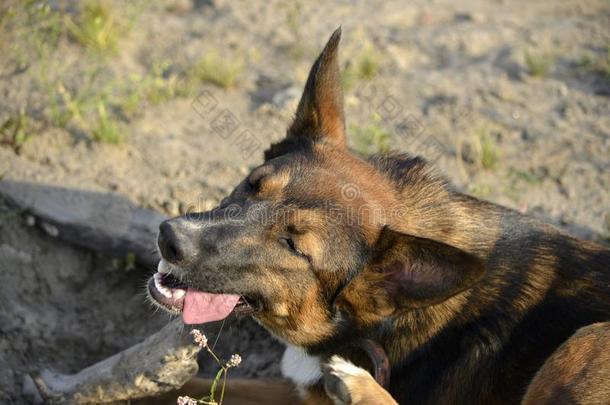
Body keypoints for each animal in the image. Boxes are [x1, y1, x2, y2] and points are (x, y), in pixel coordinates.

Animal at [147, 29, 608, 404]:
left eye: (293, 245)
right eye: (252, 184)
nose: (170, 237)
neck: (370, 327)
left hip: (585, 340)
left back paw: (359, 387)